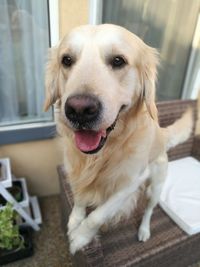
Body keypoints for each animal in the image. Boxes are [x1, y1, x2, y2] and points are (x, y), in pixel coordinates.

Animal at [43, 24, 192, 254]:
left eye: (118, 61)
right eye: (66, 60)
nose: (79, 110)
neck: (102, 154)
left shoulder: (131, 183)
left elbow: (97, 216)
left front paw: (80, 237)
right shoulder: (75, 170)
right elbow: (79, 197)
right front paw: (75, 220)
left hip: (155, 185)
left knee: (149, 210)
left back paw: (144, 230)